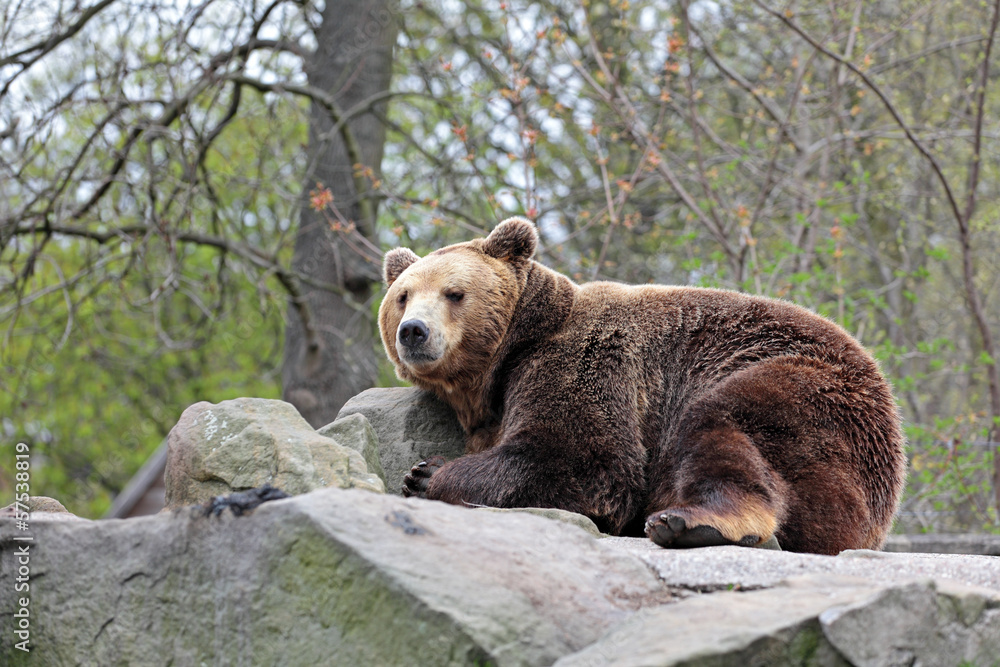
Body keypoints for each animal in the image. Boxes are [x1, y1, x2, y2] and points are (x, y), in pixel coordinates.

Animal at [376, 218, 908, 552]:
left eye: (454, 293)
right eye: (403, 295)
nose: (414, 331)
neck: (508, 356)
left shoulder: (583, 363)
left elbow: (582, 460)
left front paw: (427, 473)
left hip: (805, 389)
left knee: (724, 427)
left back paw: (690, 521)